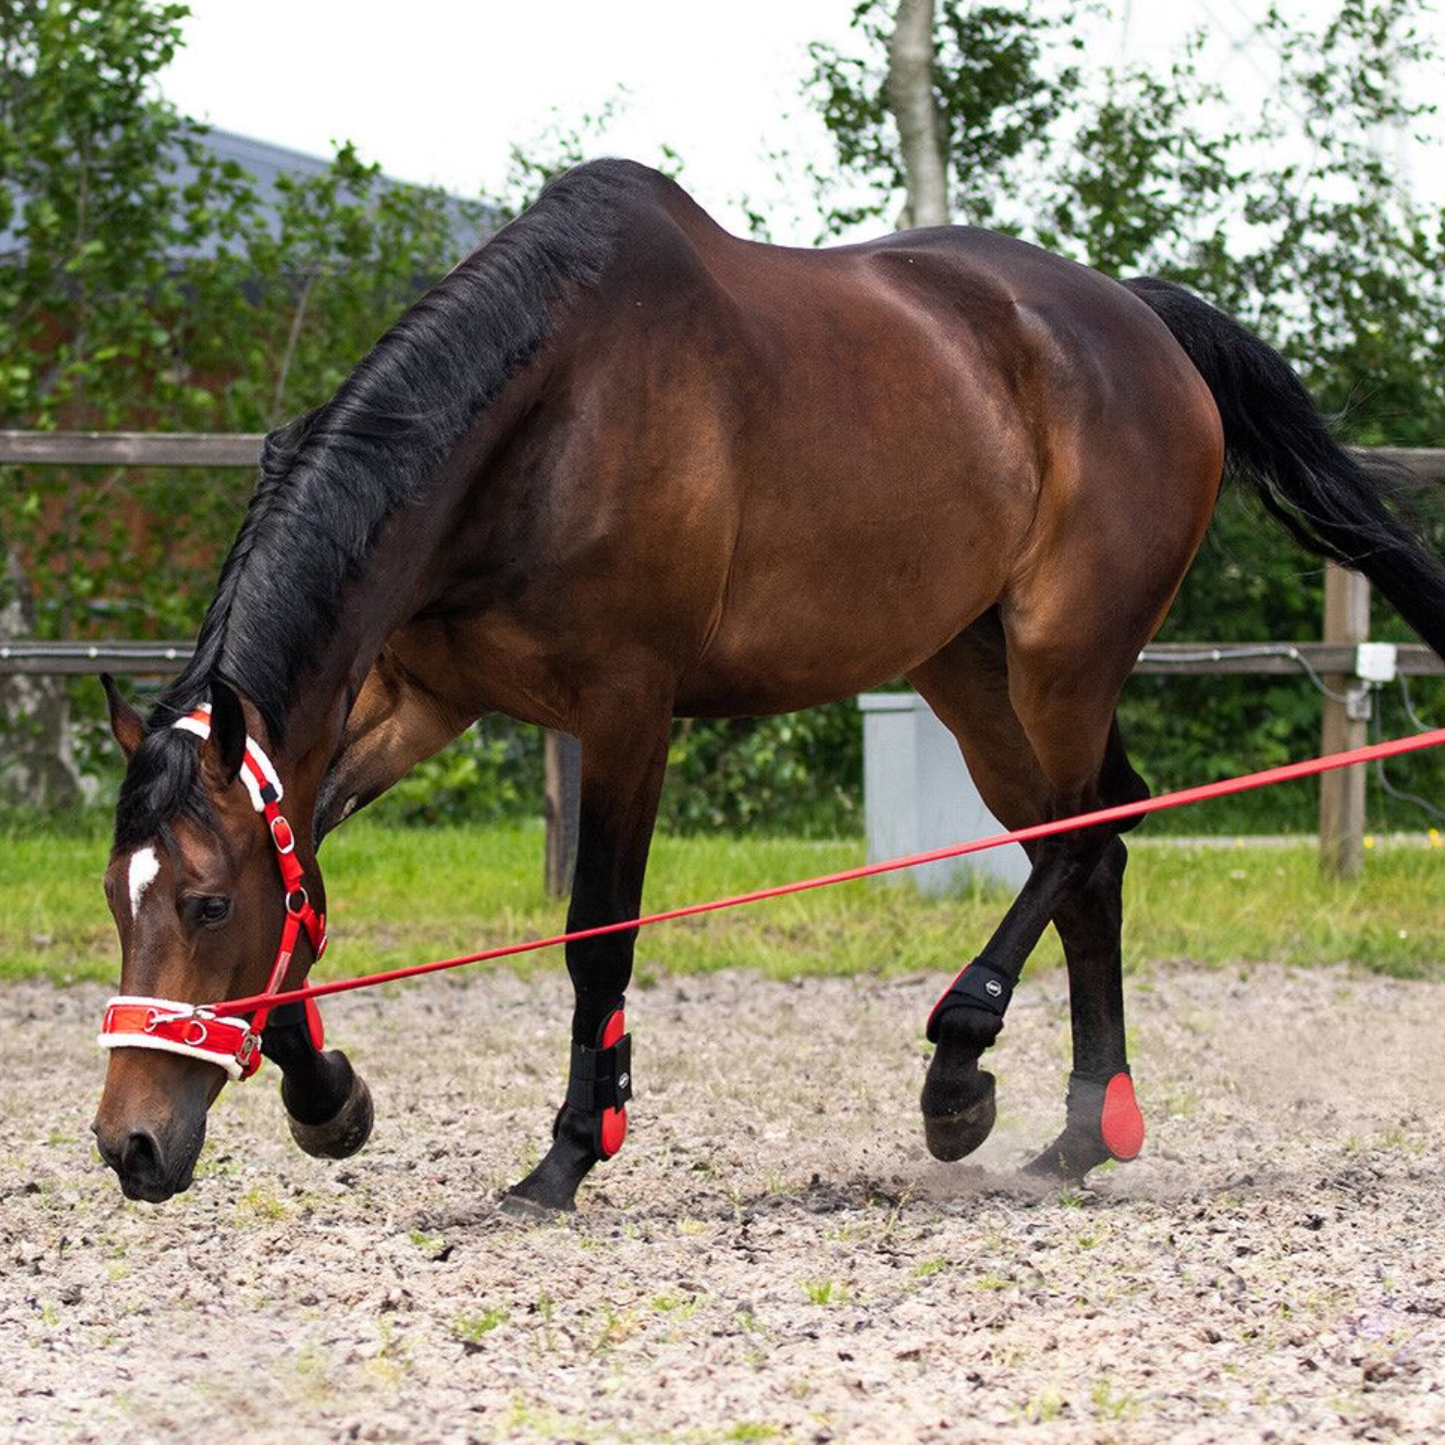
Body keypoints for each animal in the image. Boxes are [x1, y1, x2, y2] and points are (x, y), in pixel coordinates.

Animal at [93, 155, 1445, 1208]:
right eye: (121, 896)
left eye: (206, 906)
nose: (129, 1143)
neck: (540, 417)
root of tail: (1141, 321)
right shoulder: (420, 699)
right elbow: (310, 872)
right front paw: (329, 1096)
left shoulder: (625, 711)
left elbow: (596, 932)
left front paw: (568, 1153)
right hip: (968, 670)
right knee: (1088, 848)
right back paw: (1077, 1131)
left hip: (1062, 654)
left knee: (1088, 829)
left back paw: (960, 1071)